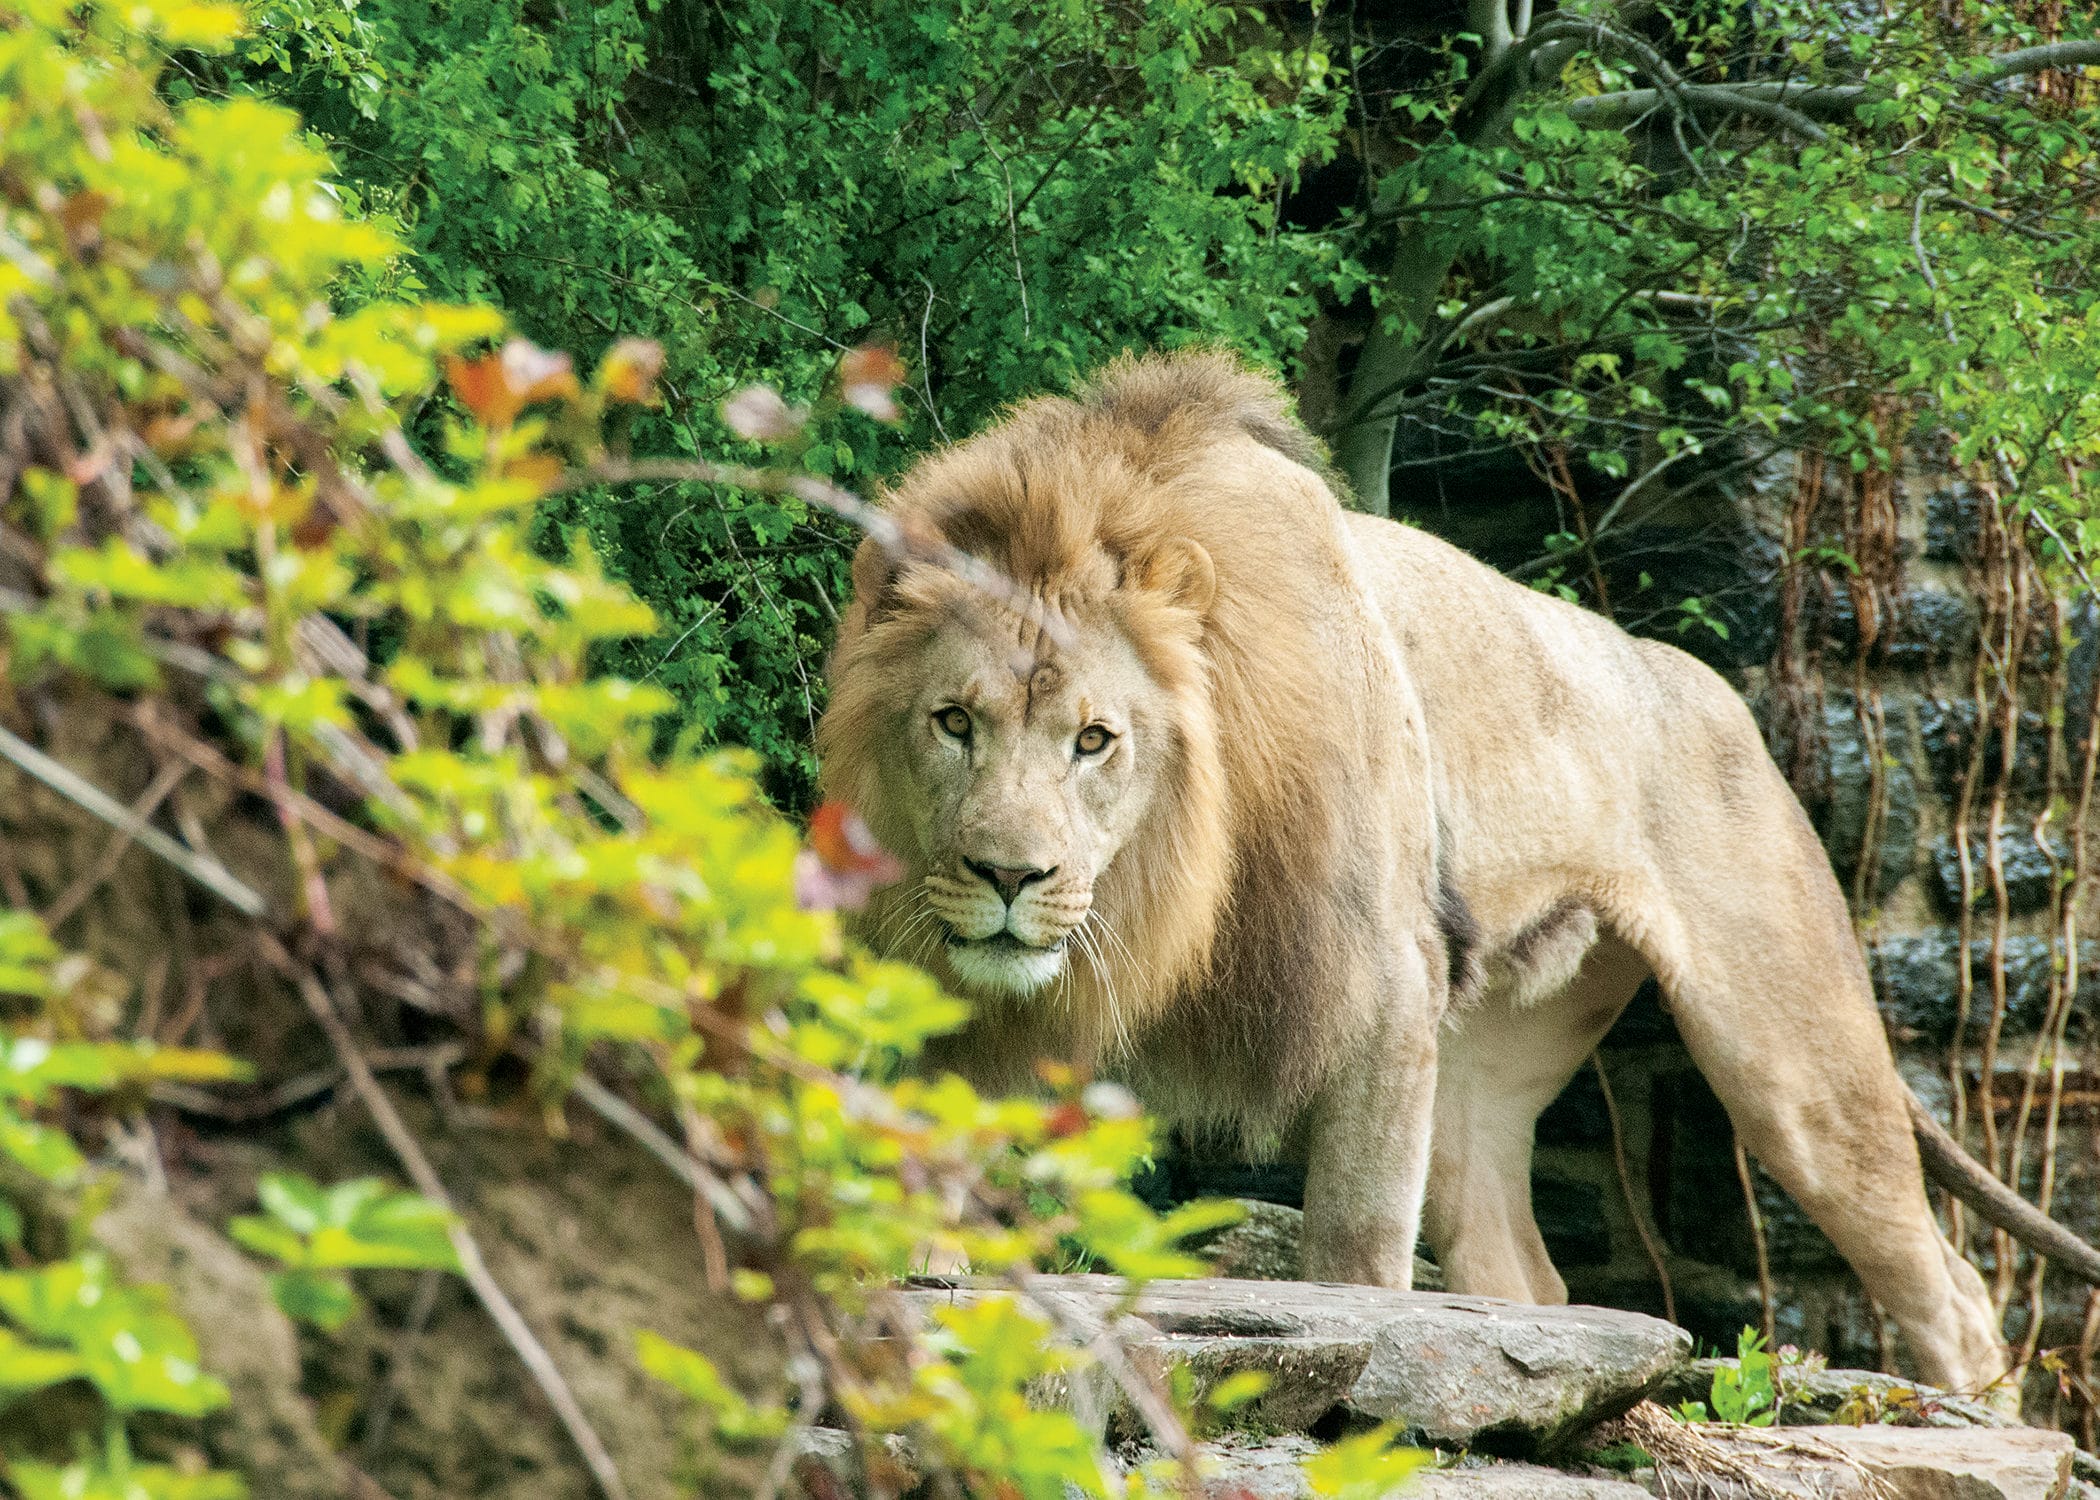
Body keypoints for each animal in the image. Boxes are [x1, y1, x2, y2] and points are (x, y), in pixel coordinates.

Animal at [817, 350, 2019, 1394]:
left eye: (1095, 740)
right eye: (954, 722)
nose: (1007, 876)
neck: (1171, 889)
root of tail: (1724, 699)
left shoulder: (1384, 993)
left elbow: (1354, 1256)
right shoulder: (977, 1016)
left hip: (1794, 1072)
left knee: (1952, 1290)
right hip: (1484, 1070)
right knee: (1517, 1274)